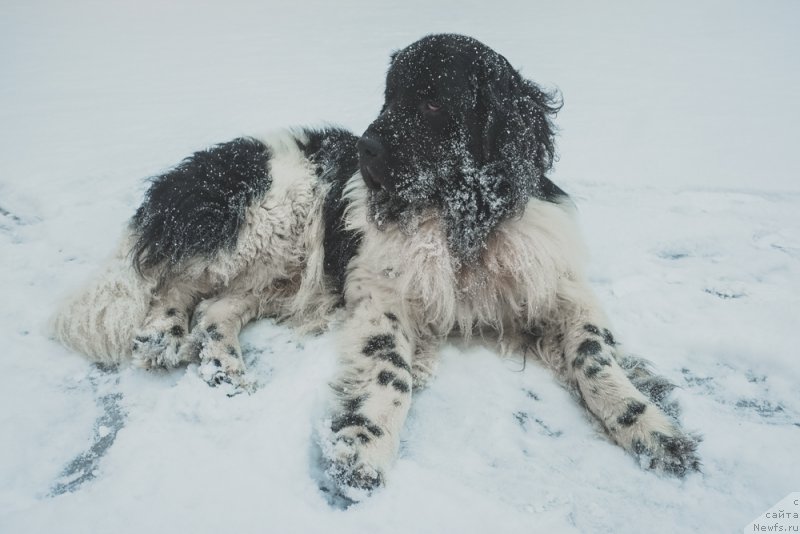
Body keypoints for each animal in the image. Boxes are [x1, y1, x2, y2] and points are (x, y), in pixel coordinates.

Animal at [51, 34, 700, 502]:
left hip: (288, 268)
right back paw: (162, 336)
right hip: (269, 216)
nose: (363, 149)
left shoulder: (557, 288)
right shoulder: (382, 295)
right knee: (179, 280)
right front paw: (365, 447)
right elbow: (392, 372)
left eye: (432, 102)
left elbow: (594, 355)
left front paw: (651, 428)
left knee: (217, 310)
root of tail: (192, 173)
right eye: (387, 97)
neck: (459, 219)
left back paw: (222, 368)